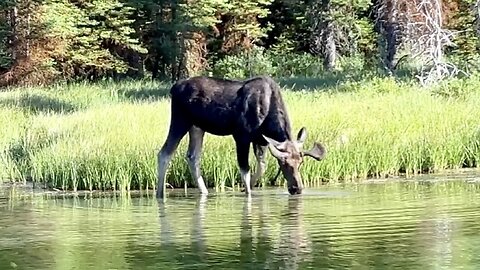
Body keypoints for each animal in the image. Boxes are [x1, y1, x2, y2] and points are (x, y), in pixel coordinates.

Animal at [156, 74, 328, 198]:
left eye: (301, 163)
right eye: (284, 164)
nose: (297, 188)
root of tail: (173, 88)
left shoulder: (261, 141)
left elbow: (261, 167)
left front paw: (248, 187)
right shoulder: (241, 136)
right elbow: (245, 169)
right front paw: (247, 192)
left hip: (197, 127)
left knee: (192, 156)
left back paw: (204, 191)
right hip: (180, 120)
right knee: (164, 153)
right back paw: (160, 194)